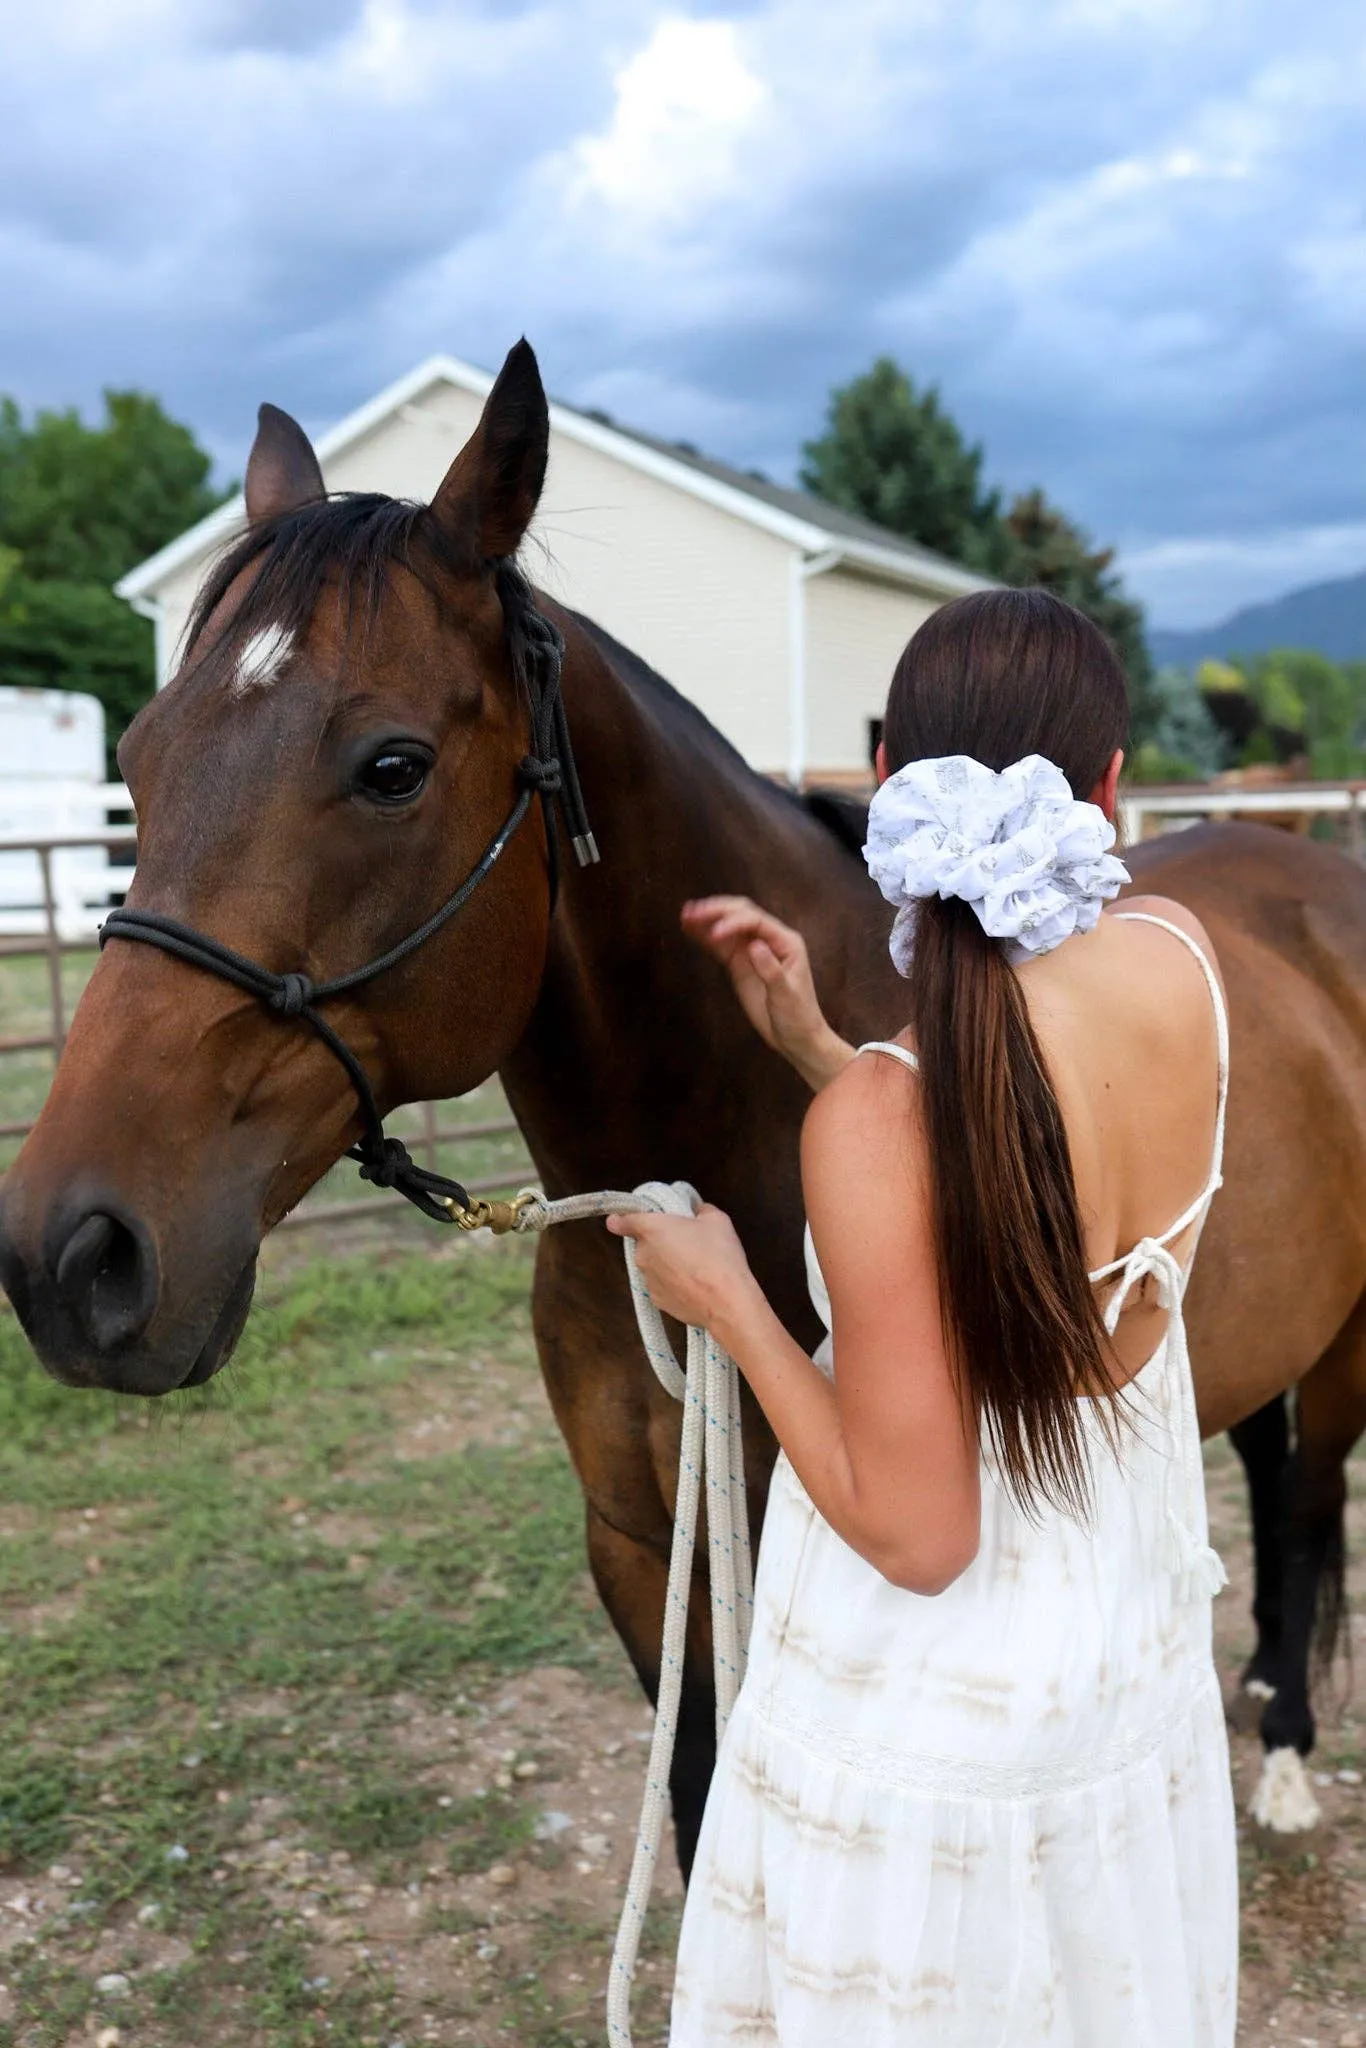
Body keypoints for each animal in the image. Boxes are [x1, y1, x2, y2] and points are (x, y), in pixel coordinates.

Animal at [2, 344, 1366, 1867]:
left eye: (391, 766)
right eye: (140, 752)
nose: (72, 1256)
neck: (710, 1146)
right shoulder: (638, 1541)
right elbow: (698, 1795)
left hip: (1346, 1343)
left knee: (1312, 1492)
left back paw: (1289, 1746)